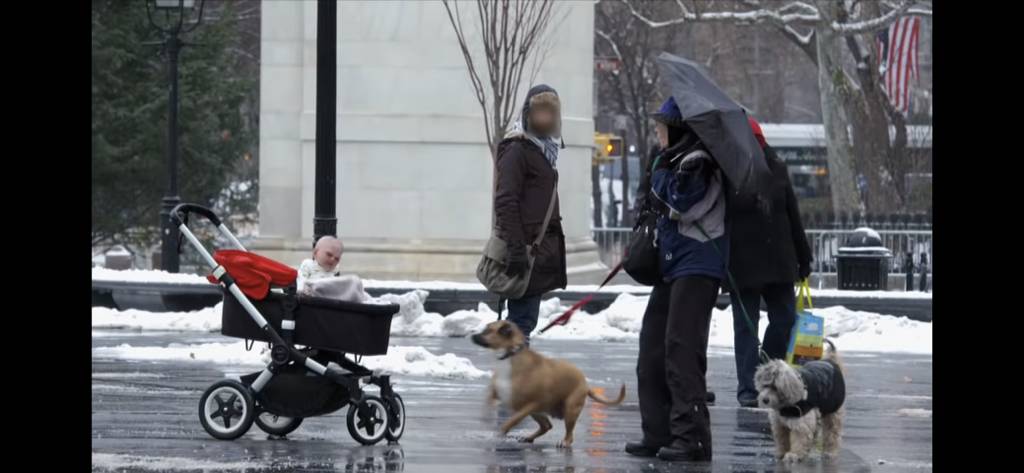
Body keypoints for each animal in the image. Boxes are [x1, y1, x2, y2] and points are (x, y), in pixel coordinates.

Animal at [471, 317, 622, 446]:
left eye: (488, 331)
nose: (472, 335)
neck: (510, 355)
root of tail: (586, 384)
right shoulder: (499, 393)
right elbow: (488, 401)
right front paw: (487, 416)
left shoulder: (529, 405)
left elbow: (511, 421)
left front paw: (501, 431)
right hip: (538, 412)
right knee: (547, 426)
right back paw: (529, 437)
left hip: (570, 410)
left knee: (568, 433)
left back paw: (564, 442)